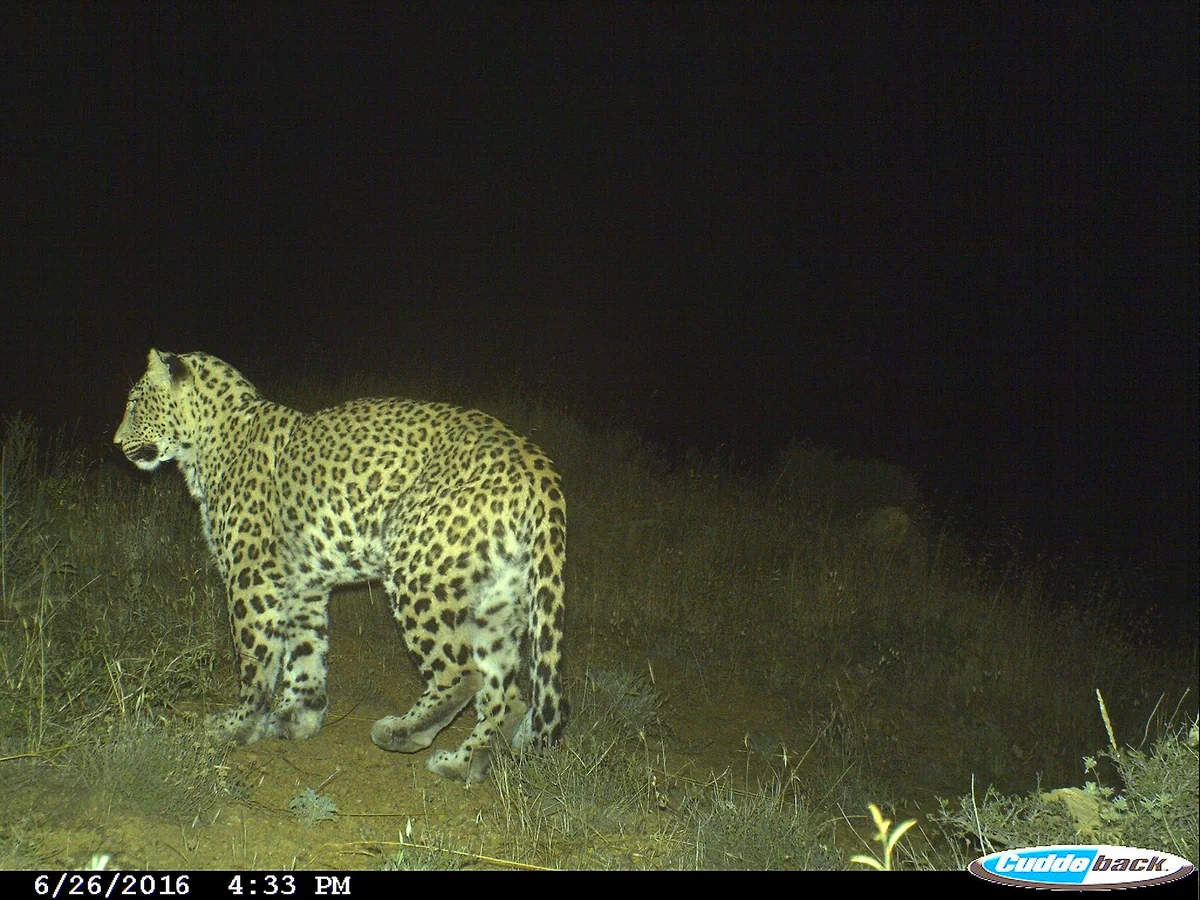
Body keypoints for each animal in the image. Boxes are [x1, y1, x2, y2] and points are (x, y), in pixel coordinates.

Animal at [114, 349, 567, 783]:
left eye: (135, 403)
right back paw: (466, 762)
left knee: (463, 674)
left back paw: (404, 732)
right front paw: (298, 715)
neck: (205, 445)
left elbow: (255, 658)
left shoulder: (251, 577)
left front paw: (239, 726)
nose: (117, 443)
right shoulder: (303, 585)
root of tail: (538, 464)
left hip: (418, 573)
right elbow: (305, 651)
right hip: (495, 600)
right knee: (508, 693)